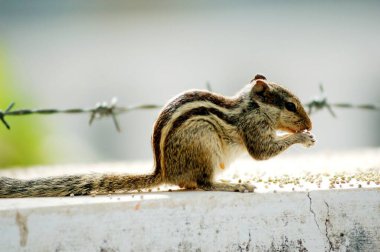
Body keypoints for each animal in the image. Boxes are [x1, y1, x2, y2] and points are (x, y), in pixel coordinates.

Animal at [0, 74, 314, 198]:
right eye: (290, 105)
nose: (309, 122)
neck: (251, 106)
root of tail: (164, 171)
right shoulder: (253, 127)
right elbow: (261, 152)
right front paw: (304, 138)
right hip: (204, 143)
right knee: (203, 184)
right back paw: (232, 185)